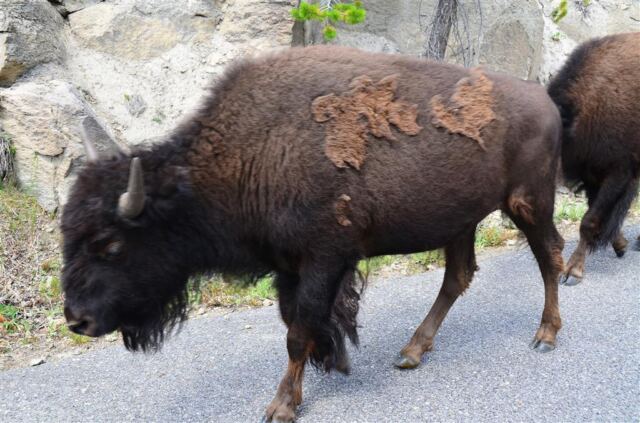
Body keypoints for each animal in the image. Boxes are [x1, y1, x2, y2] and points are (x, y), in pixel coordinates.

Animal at [61, 46, 564, 422]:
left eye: (111, 244)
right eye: (68, 233)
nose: (76, 320)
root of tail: (545, 101)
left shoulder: (323, 259)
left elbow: (297, 330)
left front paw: (282, 405)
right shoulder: (289, 267)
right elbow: (295, 321)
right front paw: (330, 360)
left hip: (527, 203)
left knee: (549, 258)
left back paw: (545, 335)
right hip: (461, 220)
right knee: (458, 277)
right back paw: (411, 351)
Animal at [548, 32, 640, 286]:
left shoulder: (618, 174)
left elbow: (589, 221)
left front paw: (573, 272)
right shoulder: (591, 176)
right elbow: (595, 214)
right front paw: (620, 245)